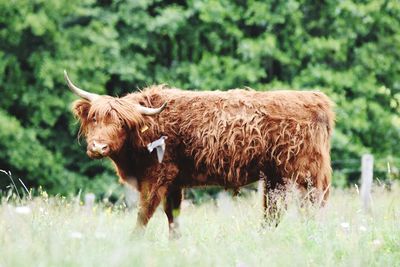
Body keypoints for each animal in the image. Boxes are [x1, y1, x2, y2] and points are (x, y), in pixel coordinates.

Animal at [65, 70, 334, 237]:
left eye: (121, 123)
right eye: (94, 117)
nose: (98, 147)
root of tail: (318, 99)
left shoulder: (157, 177)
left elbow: (143, 214)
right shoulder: (174, 183)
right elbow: (172, 217)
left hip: (306, 174)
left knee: (312, 206)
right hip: (274, 177)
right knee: (273, 212)